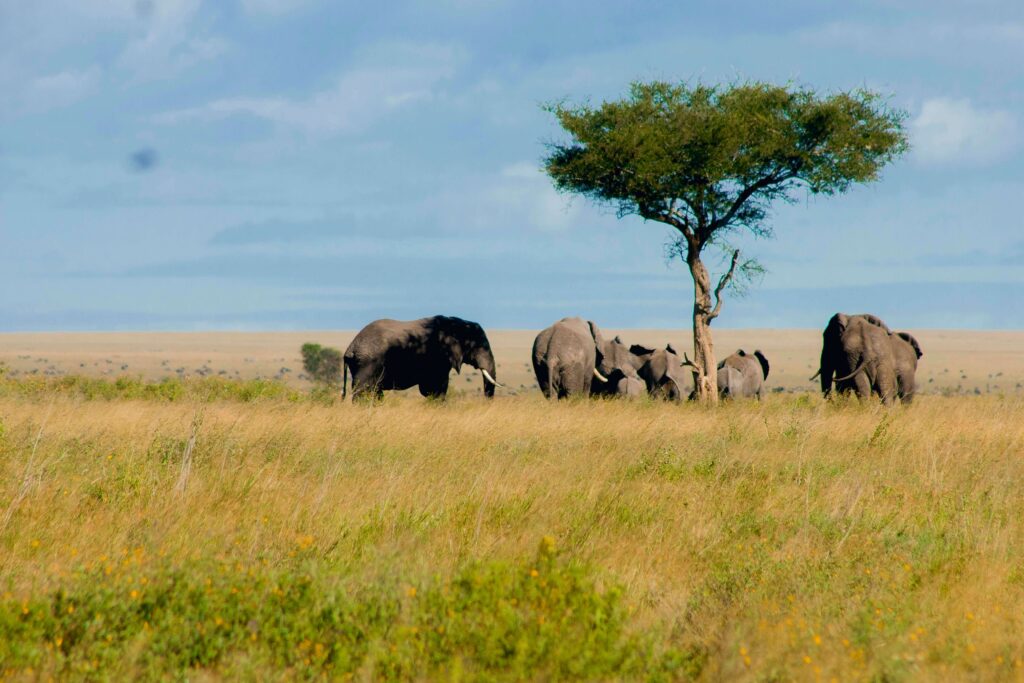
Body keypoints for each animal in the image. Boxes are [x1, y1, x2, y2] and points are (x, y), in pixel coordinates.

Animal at [344, 315, 499, 401]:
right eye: (477, 346)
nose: (486, 402)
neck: (456, 323)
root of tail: (350, 348)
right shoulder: (439, 355)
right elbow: (436, 387)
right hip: (368, 363)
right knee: (364, 391)